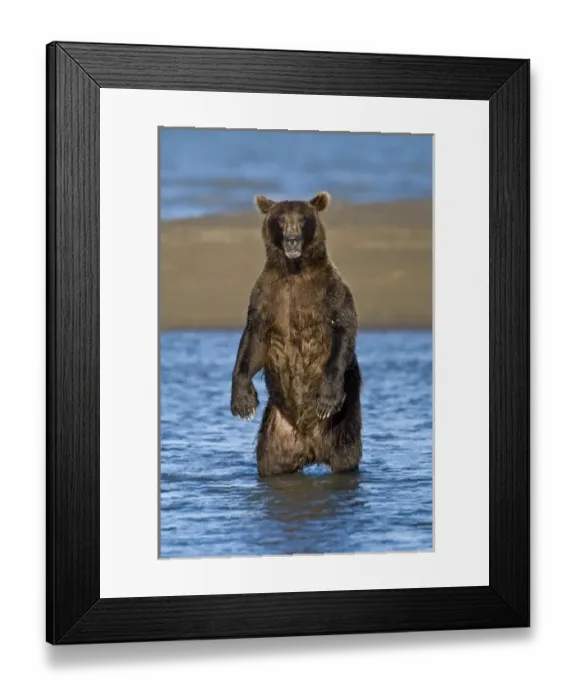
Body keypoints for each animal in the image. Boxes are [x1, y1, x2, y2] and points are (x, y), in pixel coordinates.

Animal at [230, 191, 362, 477]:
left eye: (302, 219)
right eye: (281, 219)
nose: (292, 239)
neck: (293, 270)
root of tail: (310, 447)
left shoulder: (330, 292)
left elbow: (343, 329)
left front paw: (326, 399)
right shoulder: (267, 297)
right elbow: (253, 342)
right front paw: (243, 402)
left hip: (342, 422)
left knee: (346, 455)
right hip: (275, 432)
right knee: (270, 462)